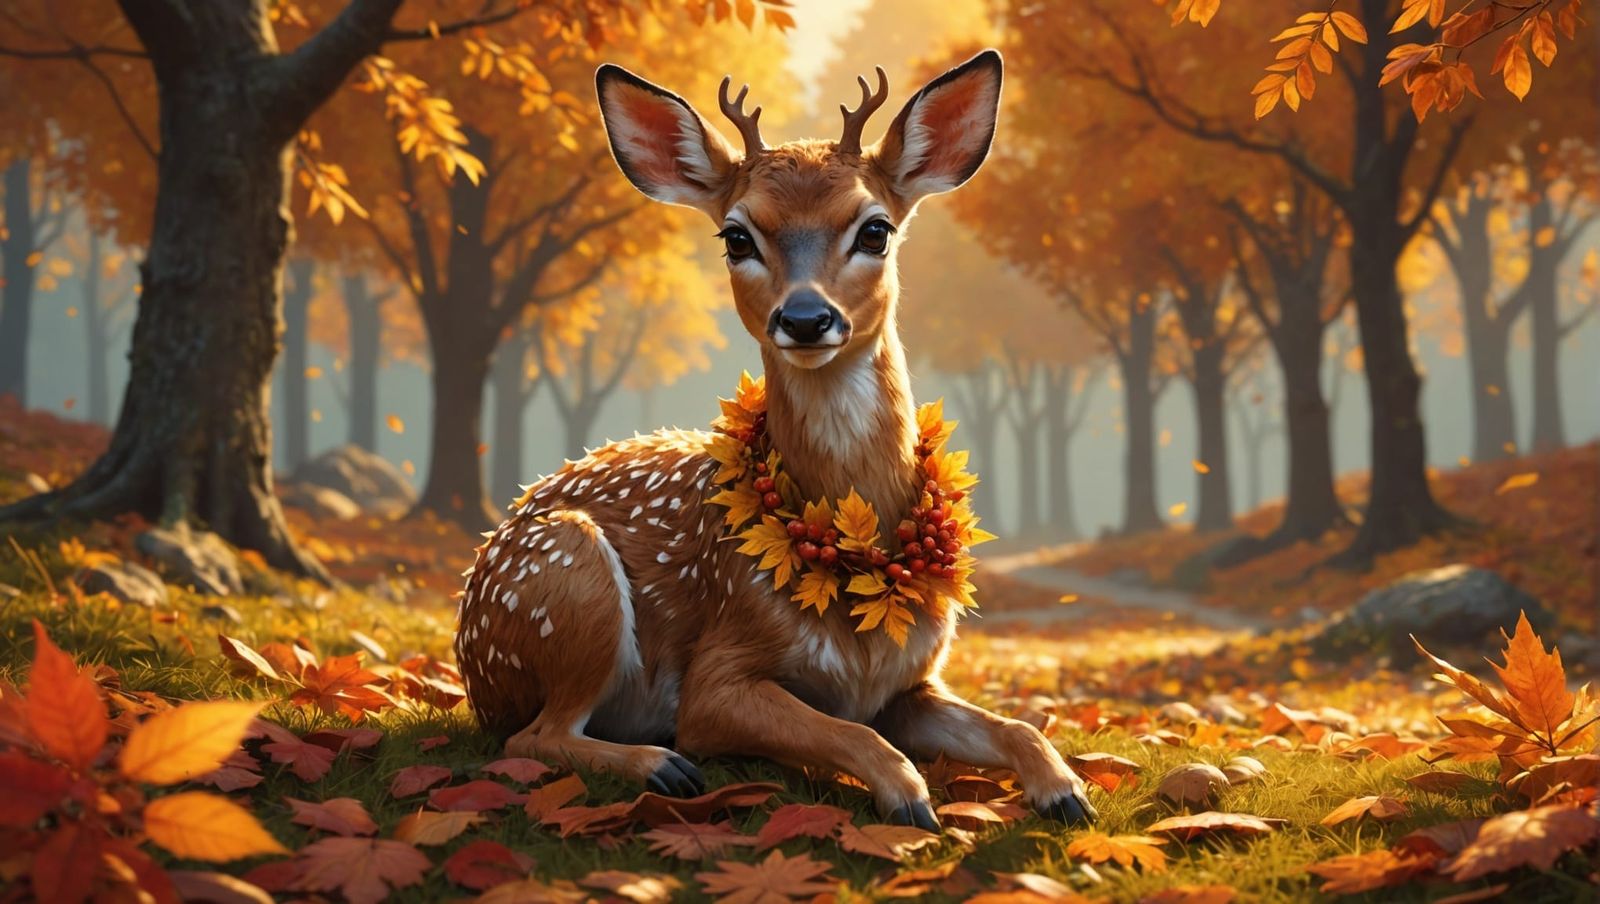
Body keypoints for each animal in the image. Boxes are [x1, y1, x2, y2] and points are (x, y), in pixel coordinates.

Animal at [454, 50, 1097, 830]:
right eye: (737, 237)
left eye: (875, 230)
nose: (806, 317)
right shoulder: (717, 679)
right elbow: (844, 731)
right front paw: (910, 799)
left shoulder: (909, 686)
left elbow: (1014, 724)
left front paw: (1065, 790)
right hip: (563, 583)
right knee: (533, 735)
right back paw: (662, 766)